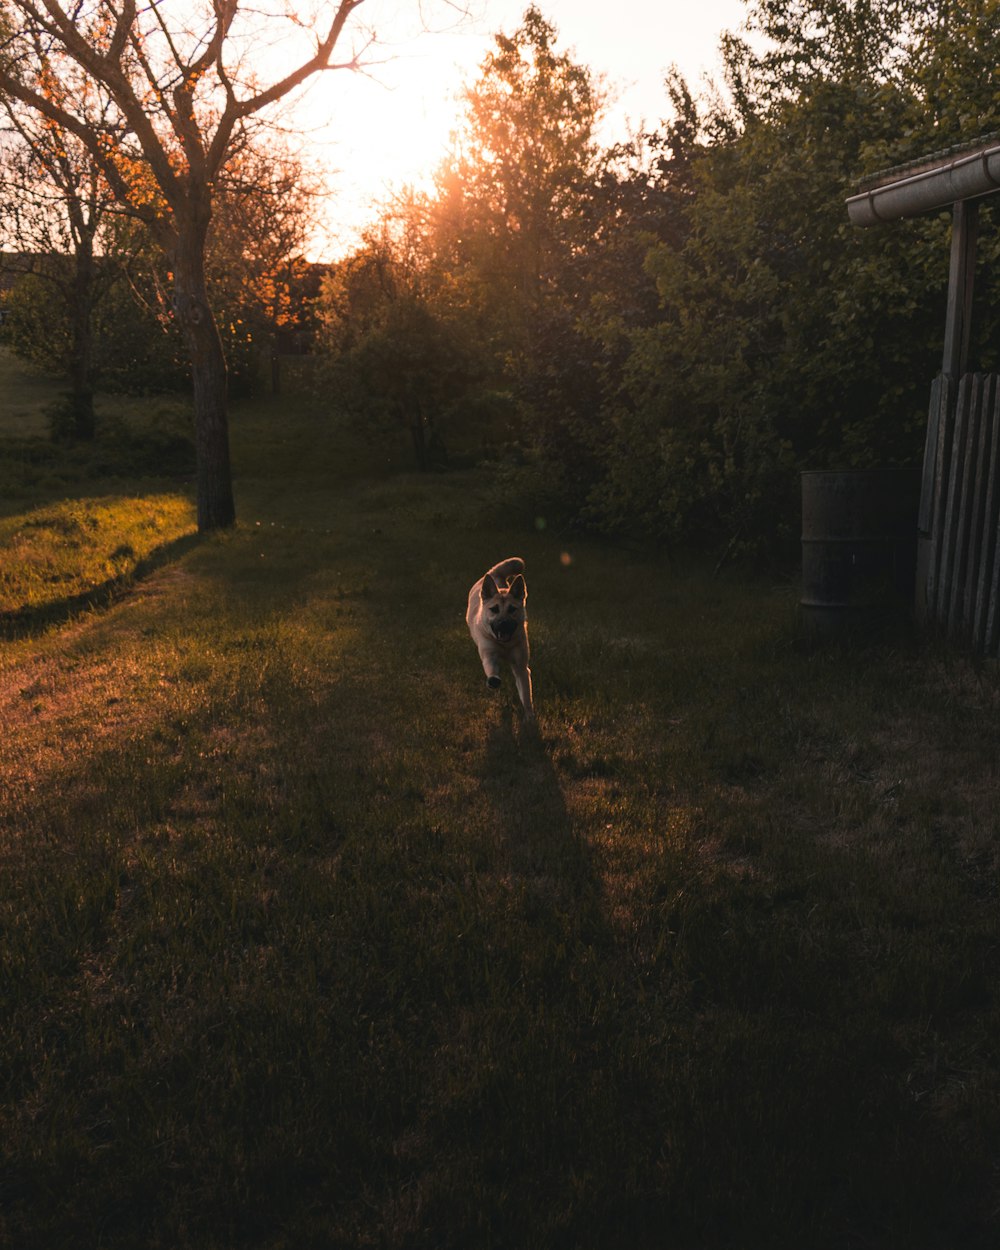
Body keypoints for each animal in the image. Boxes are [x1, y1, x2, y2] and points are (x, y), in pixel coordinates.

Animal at [465, 560, 535, 725]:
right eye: (494, 609)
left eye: (512, 609)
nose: (503, 624)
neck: (505, 645)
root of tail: (494, 573)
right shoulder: (489, 655)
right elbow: (492, 670)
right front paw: (494, 681)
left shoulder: (521, 667)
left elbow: (526, 695)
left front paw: (529, 717)